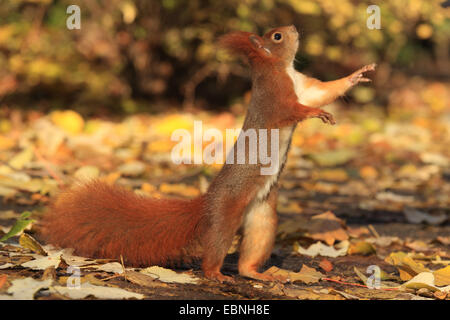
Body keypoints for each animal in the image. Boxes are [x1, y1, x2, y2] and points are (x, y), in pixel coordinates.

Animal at [39, 26, 376, 284]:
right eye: (277, 36)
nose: (294, 28)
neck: (282, 69)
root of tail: (207, 202)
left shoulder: (305, 86)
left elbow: (324, 91)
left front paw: (357, 75)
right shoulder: (277, 97)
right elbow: (294, 110)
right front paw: (318, 113)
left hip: (262, 216)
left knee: (248, 256)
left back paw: (257, 274)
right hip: (226, 216)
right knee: (215, 249)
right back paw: (215, 274)